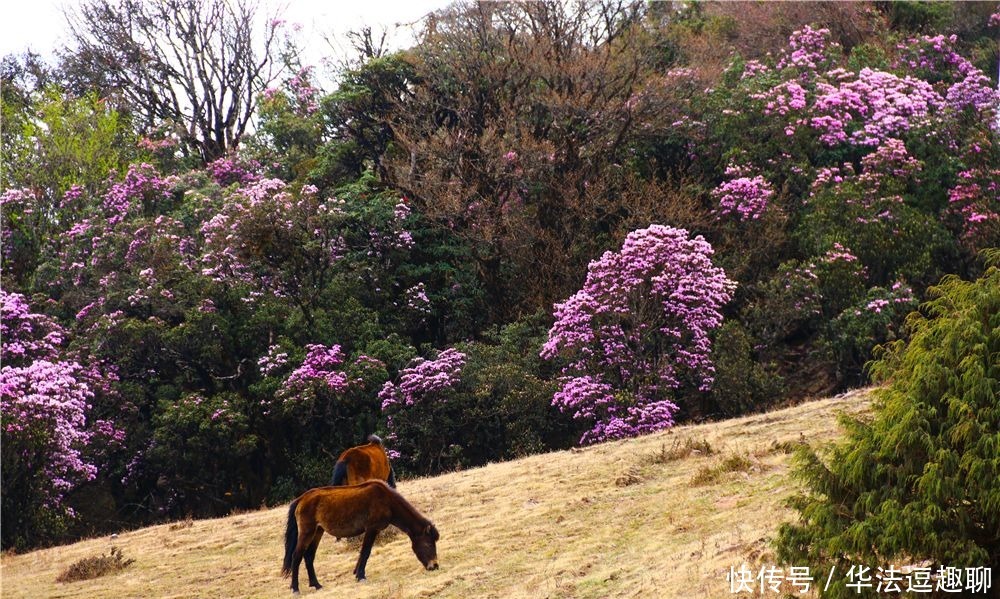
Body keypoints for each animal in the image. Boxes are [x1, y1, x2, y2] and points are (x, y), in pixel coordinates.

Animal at [282, 480, 438, 592]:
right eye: (429, 544)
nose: (434, 566)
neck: (387, 500)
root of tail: (302, 499)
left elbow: (363, 552)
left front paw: (356, 572)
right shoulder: (371, 529)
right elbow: (365, 552)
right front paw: (360, 575)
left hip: (318, 531)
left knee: (309, 557)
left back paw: (316, 584)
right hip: (307, 532)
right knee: (297, 556)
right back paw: (295, 588)